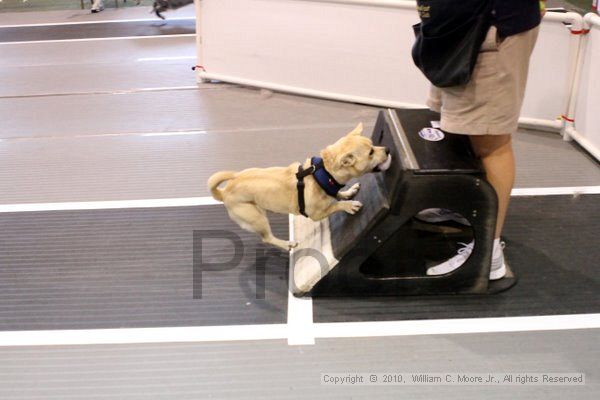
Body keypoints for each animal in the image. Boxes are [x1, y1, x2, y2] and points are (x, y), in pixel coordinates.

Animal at [209, 125, 392, 250]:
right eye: (370, 153)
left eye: (373, 145)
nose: (388, 149)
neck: (324, 175)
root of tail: (223, 193)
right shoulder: (316, 215)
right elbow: (336, 205)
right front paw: (349, 205)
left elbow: (337, 195)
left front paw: (348, 192)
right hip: (256, 218)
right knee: (267, 238)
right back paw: (287, 244)